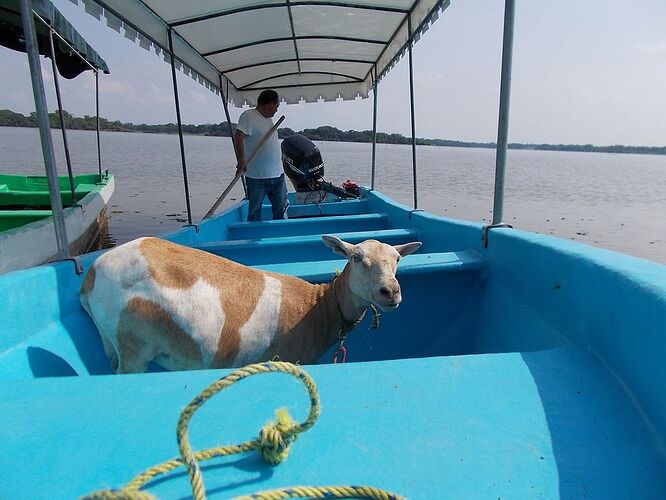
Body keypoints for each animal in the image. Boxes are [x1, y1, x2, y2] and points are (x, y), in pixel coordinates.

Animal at [79, 236, 420, 374]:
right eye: (356, 258)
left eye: (397, 259)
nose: (390, 292)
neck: (318, 307)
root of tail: (92, 274)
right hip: (134, 346)